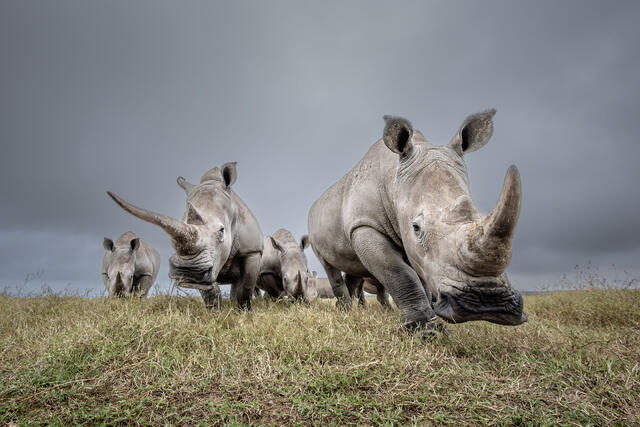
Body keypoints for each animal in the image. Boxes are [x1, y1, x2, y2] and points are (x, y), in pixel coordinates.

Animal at [107, 162, 263, 309]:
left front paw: (243, 313)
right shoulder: (208, 266)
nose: (187, 272)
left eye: (221, 230)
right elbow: (210, 294)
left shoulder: (252, 251)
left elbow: (244, 289)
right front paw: (215, 314)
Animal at [308, 110, 526, 334]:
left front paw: (435, 323)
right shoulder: (364, 225)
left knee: (355, 268)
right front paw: (424, 331)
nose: (488, 304)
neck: (393, 180)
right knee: (328, 265)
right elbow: (400, 273)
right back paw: (345, 310)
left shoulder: (417, 250)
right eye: (416, 228)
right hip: (315, 224)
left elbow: (422, 277)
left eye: (480, 214)